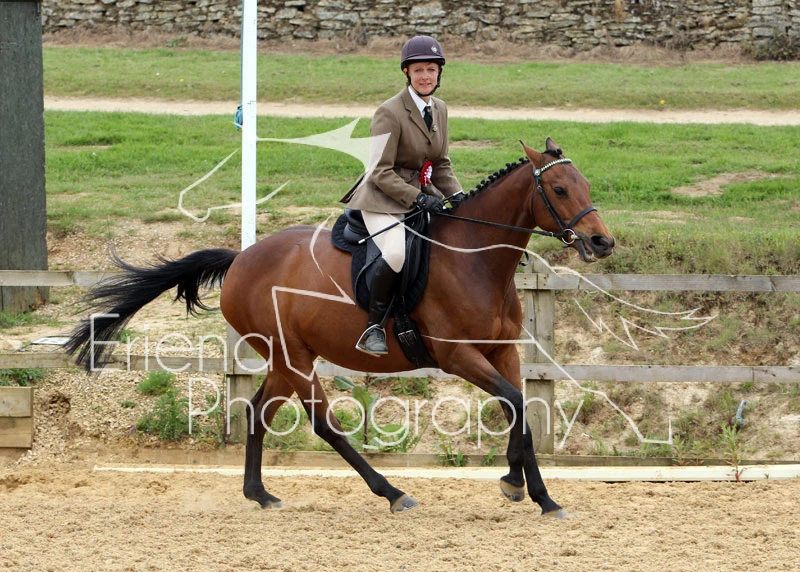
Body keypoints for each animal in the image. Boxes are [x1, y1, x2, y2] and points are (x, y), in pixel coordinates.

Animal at [66, 138, 614, 517]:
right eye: (559, 189)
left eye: (587, 185)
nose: (602, 242)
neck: (474, 259)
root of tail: (241, 257)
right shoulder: (458, 356)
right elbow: (516, 402)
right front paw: (533, 491)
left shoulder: (502, 351)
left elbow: (517, 406)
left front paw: (523, 485)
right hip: (294, 358)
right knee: (323, 423)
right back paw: (391, 492)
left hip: (286, 359)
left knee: (258, 412)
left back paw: (260, 494)